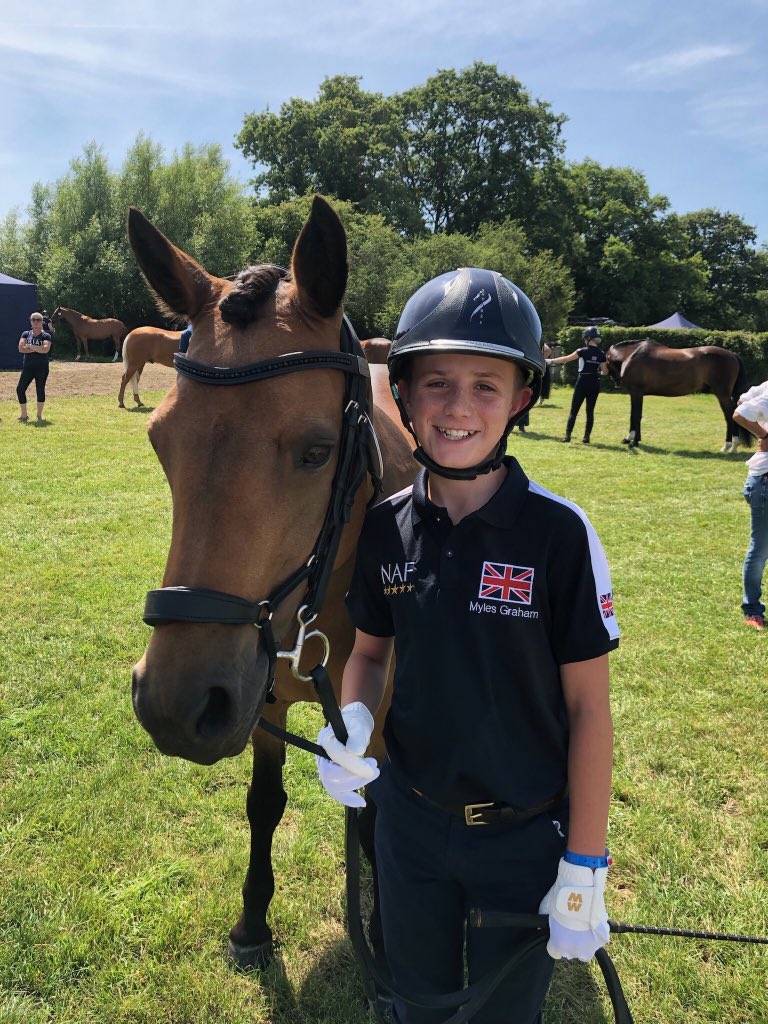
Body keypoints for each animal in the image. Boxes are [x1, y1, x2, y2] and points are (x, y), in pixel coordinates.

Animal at [128, 197, 415, 974]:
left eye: (317, 451)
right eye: (160, 441)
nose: (173, 706)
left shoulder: (379, 717)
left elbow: (382, 818)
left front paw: (389, 948)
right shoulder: (258, 708)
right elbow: (265, 804)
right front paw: (252, 921)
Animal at [606, 337, 753, 450]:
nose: (615, 383)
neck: (631, 355)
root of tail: (732, 354)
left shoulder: (636, 392)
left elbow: (635, 416)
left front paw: (630, 440)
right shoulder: (639, 394)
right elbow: (639, 416)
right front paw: (635, 440)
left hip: (722, 394)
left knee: (729, 415)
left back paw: (729, 446)